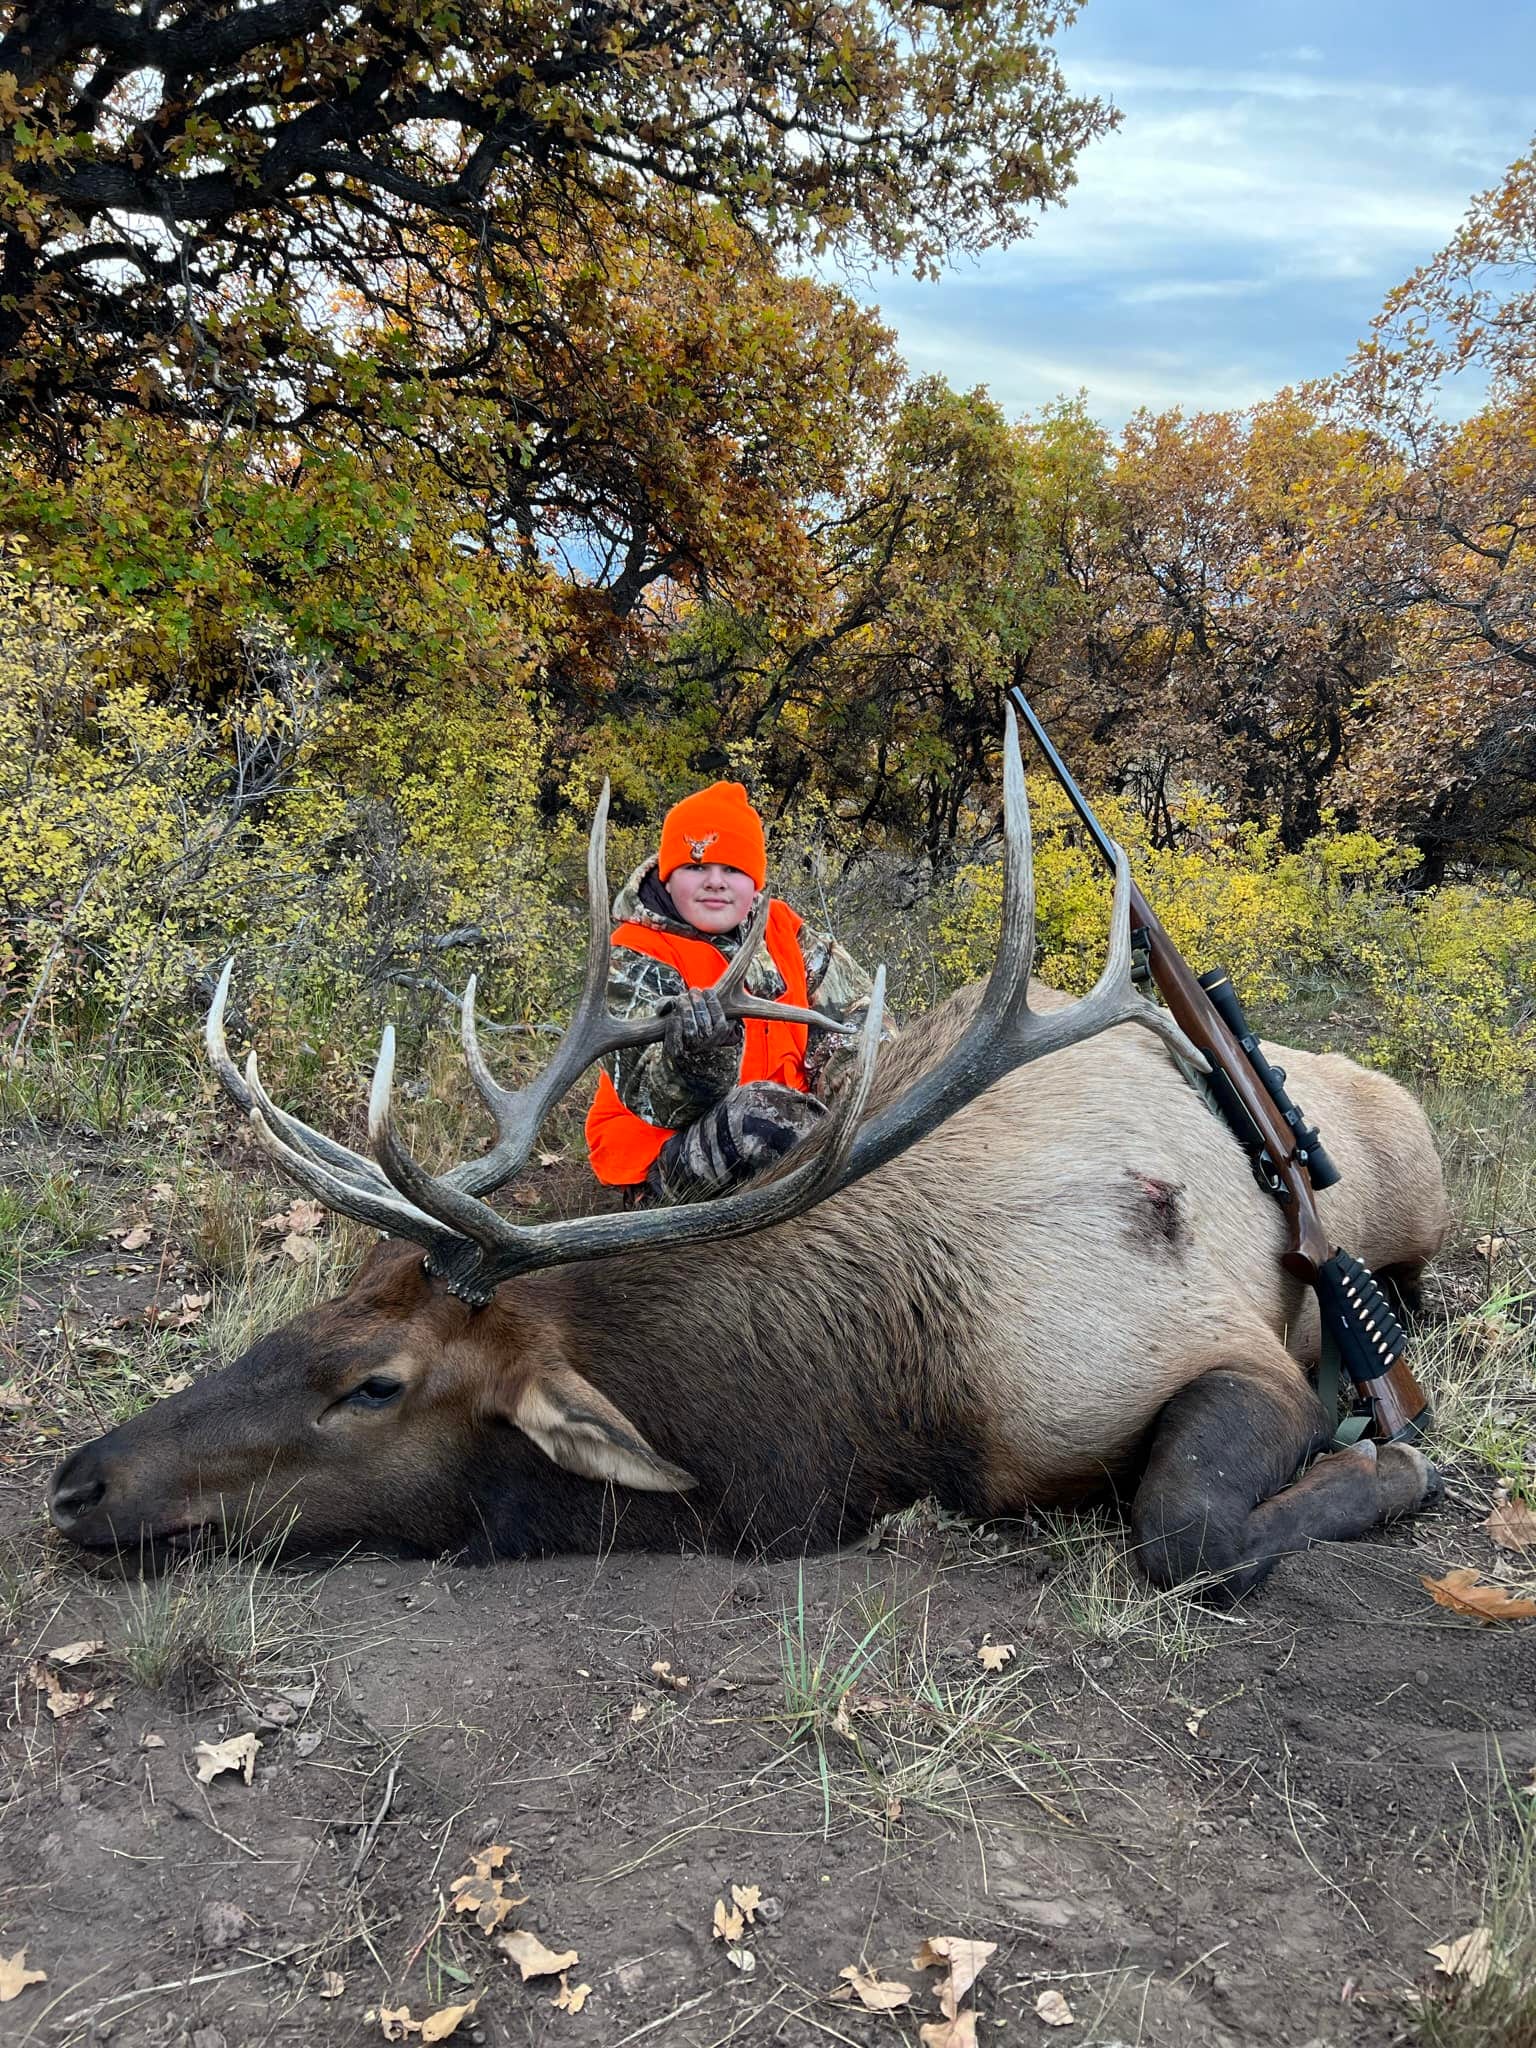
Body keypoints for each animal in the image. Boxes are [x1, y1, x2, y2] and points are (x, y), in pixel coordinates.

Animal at [48, 714, 1452, 1597]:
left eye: (375, 1384)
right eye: (334, 1292)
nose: (74, 1479)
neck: (889, 1404)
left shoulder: (1199, 1342)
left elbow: (1188, 1530)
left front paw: (1387, 1461)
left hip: (1415, 1193)